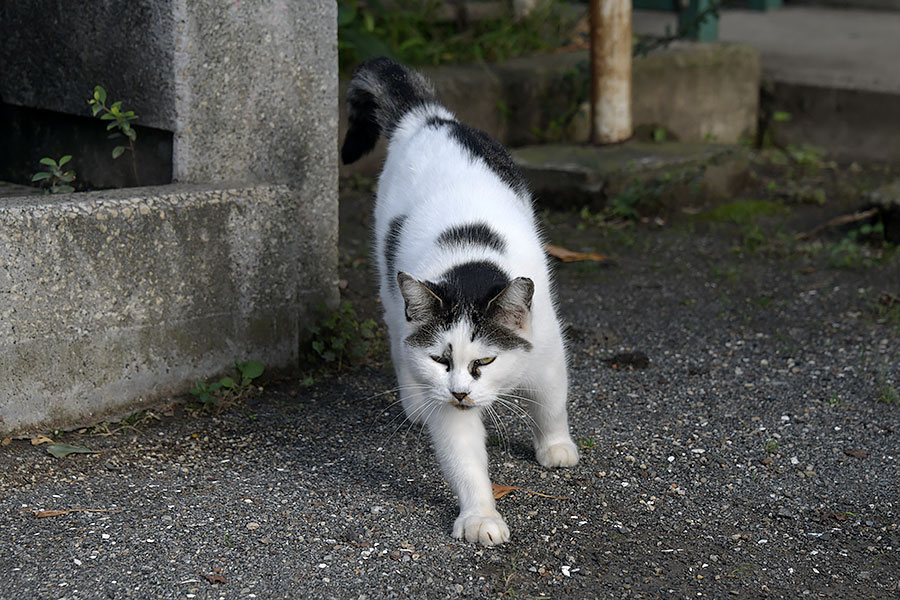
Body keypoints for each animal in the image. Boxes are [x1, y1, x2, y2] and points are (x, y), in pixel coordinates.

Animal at [342, 58, 580, 548]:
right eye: (440, 359)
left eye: (485, 360)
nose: (460, 392)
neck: (471, 266)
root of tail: (429, 116)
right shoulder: (449, 406)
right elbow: (464, 460)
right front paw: (480, 516)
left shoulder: (547, 350)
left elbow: (551, 402)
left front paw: (555, 446)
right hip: (390, 288)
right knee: (397, 339)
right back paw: (414, 403)